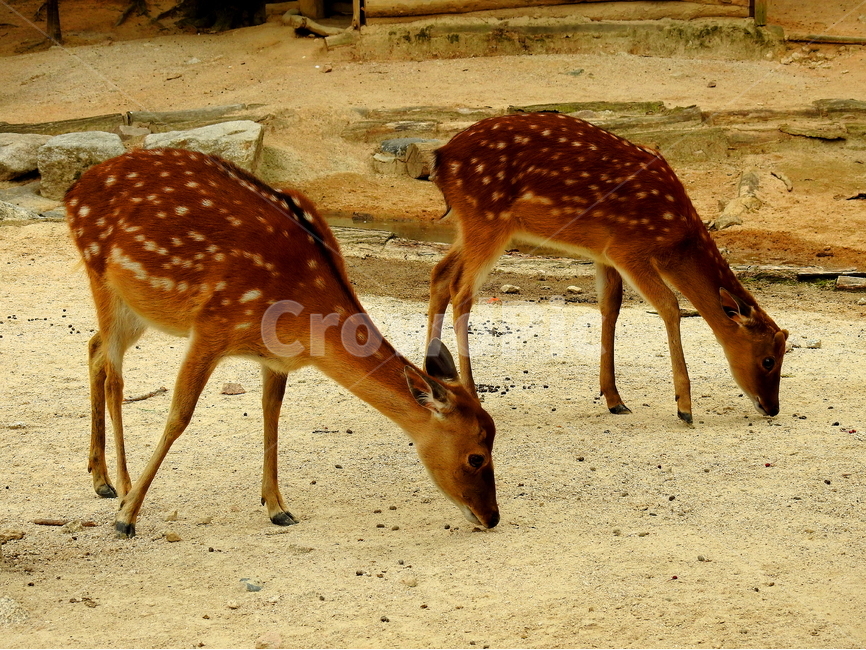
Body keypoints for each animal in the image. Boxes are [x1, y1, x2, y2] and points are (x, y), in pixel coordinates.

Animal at [65, 148, 499, 538]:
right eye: (476, 457)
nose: (492, 516)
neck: (303, 316)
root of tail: (74, 190)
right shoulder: (211, 326)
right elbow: (179, 416)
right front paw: (128, 518)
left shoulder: (276, 356)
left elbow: (271, 413)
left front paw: (278, 508)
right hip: (103, 279)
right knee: (115, 376)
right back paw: (122, 488)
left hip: (140, 309)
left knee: (93, 347)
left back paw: (101, 479)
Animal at [426, 112, 788, 425]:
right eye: (768, 360)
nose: (772, 408)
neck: (675, 237)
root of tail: (440, 158)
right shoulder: (627, 248)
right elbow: (670, 305)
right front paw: (684, 407)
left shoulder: (605, 252)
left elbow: (610, 307)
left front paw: (615, 399)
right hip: (487, 219)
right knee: (462, 290)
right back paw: (471, 395)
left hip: (473, 224)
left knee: (440, 273)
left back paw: (432, 376)